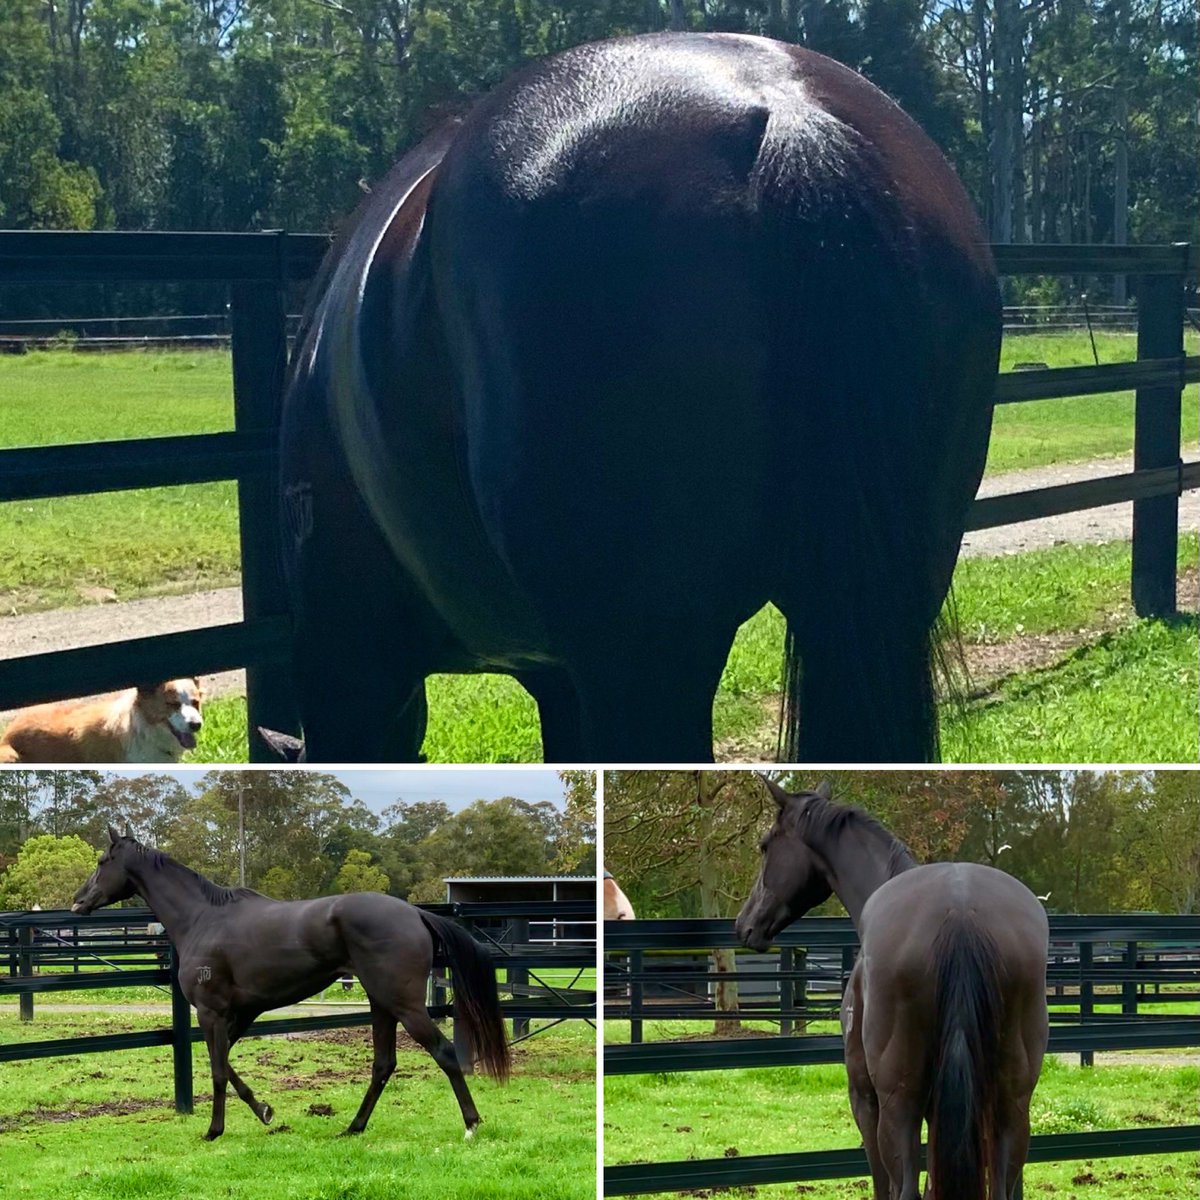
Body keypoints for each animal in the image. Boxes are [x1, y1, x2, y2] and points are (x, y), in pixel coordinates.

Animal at [71, 827, 509, 1140]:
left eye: (101, 860)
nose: (78, 901)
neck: (202, 919)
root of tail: (415, 913)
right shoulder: (241, 1013)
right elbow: (226, 1063)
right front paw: (264, 1111)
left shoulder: (211, 1012)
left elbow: (217, 1070)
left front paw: (214, 1131)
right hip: (381, 1004)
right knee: (383, 1065)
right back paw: (353, 1128)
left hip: (405, 1005)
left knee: (444, 1053)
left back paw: (471, 1124)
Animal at [735, 779, 1048, 1200]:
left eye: (765, 845)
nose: (744, 925)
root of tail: (960, 910)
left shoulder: (865, 1098)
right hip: (1011, 1102)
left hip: (898, 1104)